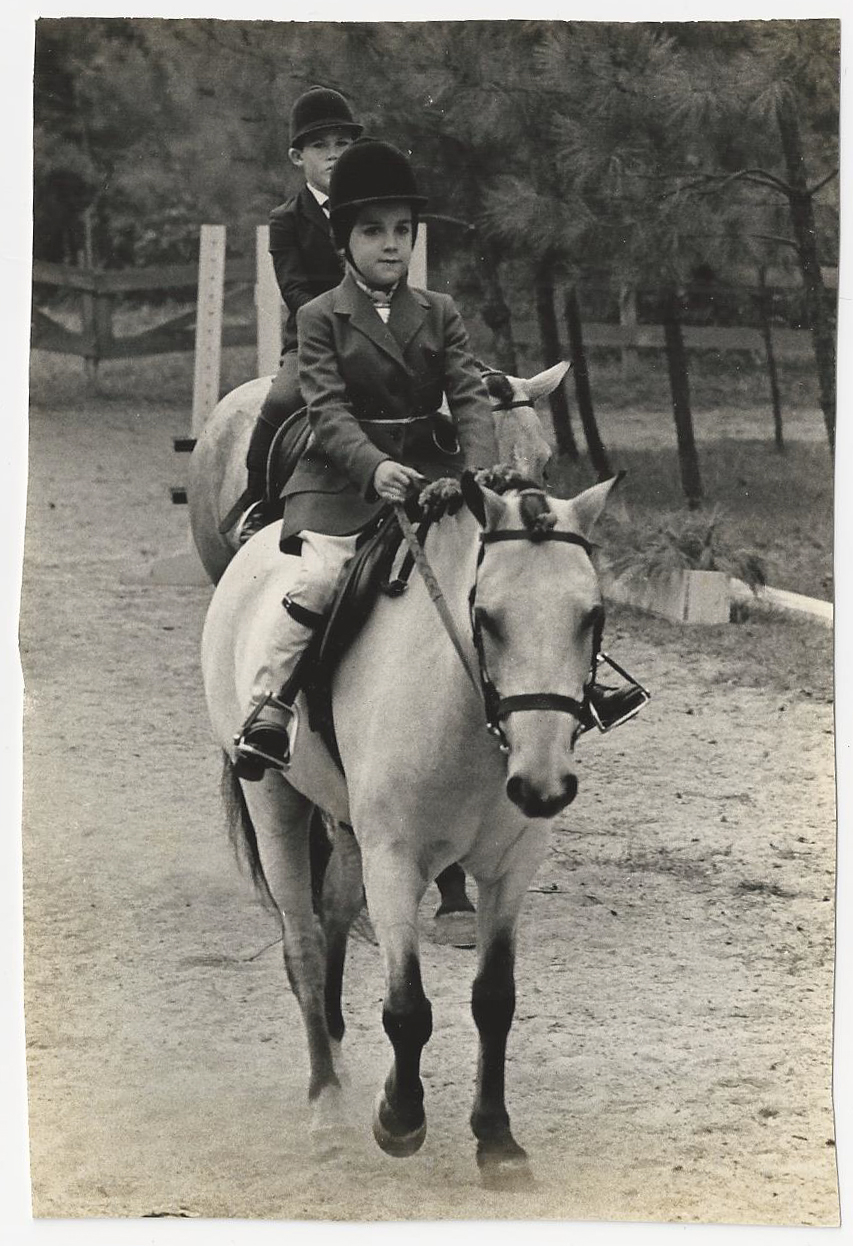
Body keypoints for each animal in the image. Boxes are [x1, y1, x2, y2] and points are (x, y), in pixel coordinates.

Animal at [201, 468, 617, 1186]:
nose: (542, 785)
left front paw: (497, 1140)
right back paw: (326, 1107)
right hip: (274, 799)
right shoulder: (395, 861)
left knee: (334, 916)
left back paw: (338, 1061)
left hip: (346, 823)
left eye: (590, 617)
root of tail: (255, 542)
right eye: (487, 618)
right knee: (303, 945)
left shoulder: (510, 869)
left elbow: (494, 1000)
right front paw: (397, 1119)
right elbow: (407, 1007)